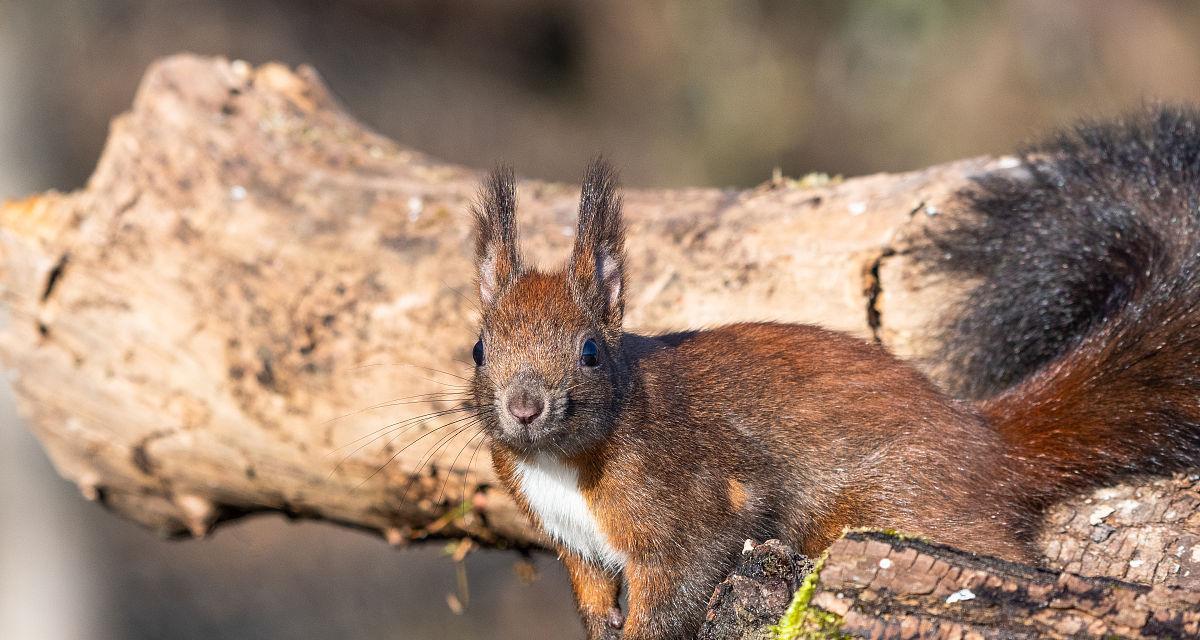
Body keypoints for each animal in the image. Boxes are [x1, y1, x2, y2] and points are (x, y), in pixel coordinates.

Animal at [465, 107, 1200, 633]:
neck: (561, 464)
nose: (524, 407)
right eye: (478, 349)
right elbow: (593, 595)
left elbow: (679, 588)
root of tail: (989, 445)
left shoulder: (690, 507)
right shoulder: (575, 544)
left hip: (902, 510)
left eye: (590, 351)